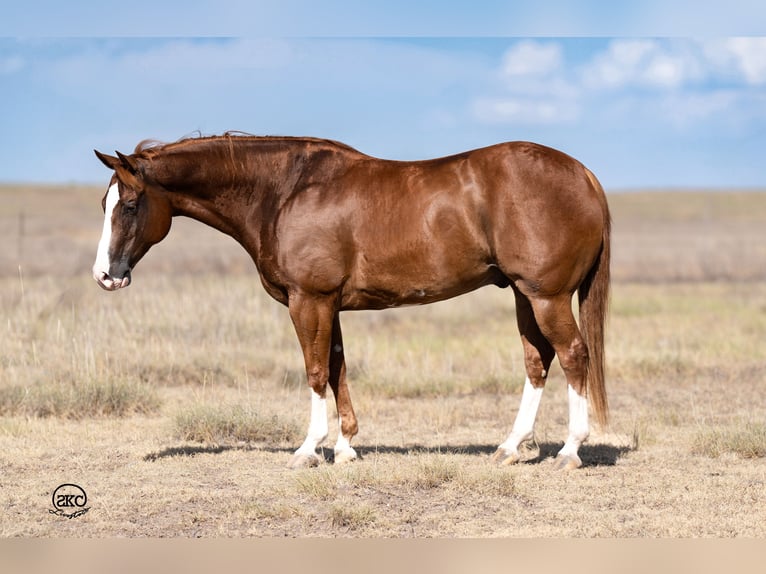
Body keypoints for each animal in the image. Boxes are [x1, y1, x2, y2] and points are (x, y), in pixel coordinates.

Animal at [94, 135, 612, 472]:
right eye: (105, 203)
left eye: (131, 204)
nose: (105, 275)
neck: (284, 192)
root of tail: (584, 174)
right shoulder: (330, 305)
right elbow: (337, 368)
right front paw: (345, 448)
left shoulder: (309, 301)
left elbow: (315, 371)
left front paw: (309, 449)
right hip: (525, 296)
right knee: (538, 362)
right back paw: (509, 447)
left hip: (546, 297)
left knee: (573, 356)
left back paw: (569, 452)